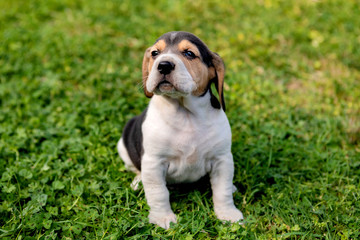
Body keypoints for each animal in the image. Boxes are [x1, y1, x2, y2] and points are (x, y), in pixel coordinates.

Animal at [118, 31, 245, 229]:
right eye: (155, 53)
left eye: (189, 54)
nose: (163, 65)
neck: (185, 114)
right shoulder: (154, 163)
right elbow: (158, 193)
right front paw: (162, 218)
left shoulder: (222, 159)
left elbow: (222, 190)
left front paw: (228, 214)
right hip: (123, 146)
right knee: (135, 168)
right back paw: (138, 181)